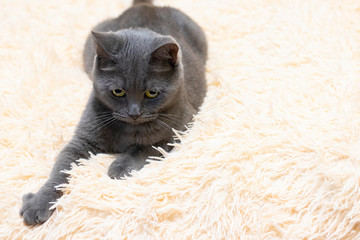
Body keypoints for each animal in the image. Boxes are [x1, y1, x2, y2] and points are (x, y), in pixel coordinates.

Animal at [19, 0, 207, 225]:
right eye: (118, 92)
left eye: (151, 93)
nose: (134, 113)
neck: (128, 129)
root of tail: (144, 6)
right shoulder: (81, 140)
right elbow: (60, 169)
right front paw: (38, 202)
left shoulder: (180, 128)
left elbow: (145, 147)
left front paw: (119, 167)